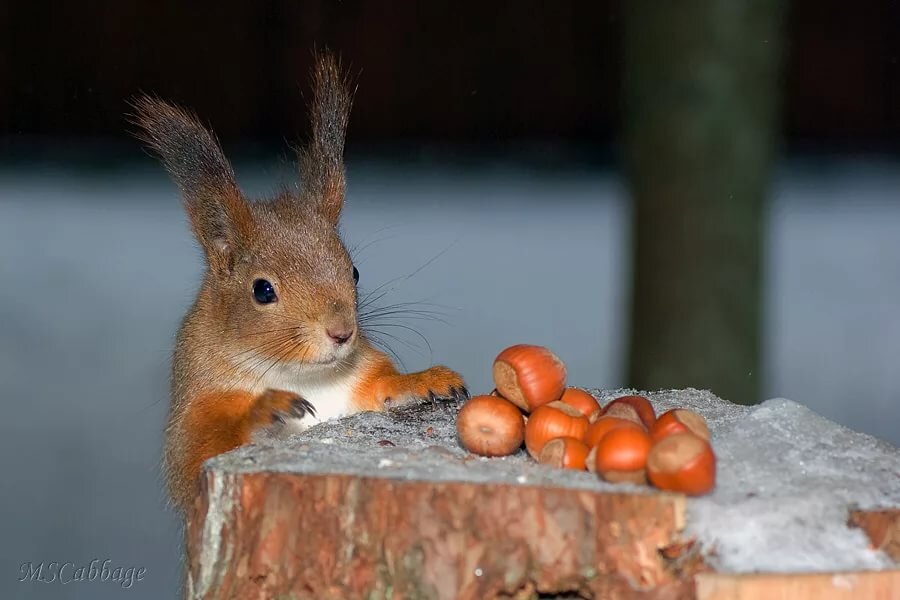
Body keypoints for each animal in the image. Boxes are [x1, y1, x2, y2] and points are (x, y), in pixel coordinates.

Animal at [135, 54, 472, 508]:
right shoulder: (197, 412)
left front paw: (423, 381)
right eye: (262, 290)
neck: (299, 375)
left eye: (354, 271)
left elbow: (381, 385)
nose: (342, 333)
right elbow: (199, 452)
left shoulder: (357, 380)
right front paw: (263, 412)